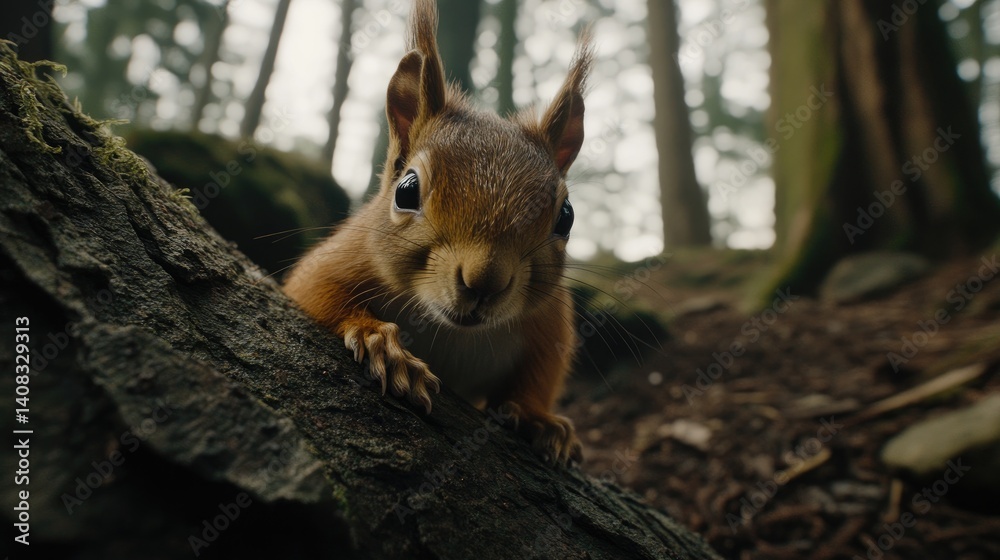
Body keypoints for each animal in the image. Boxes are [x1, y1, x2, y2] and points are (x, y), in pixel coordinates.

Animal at [284, 0, 593, 465]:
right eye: (406, 191)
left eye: (567, 217)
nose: (485, 281)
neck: (449, 330)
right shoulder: (340, 259)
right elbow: (315, 293)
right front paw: (380, 342)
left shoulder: (548, 323)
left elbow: (538, 378)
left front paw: (539, 418)